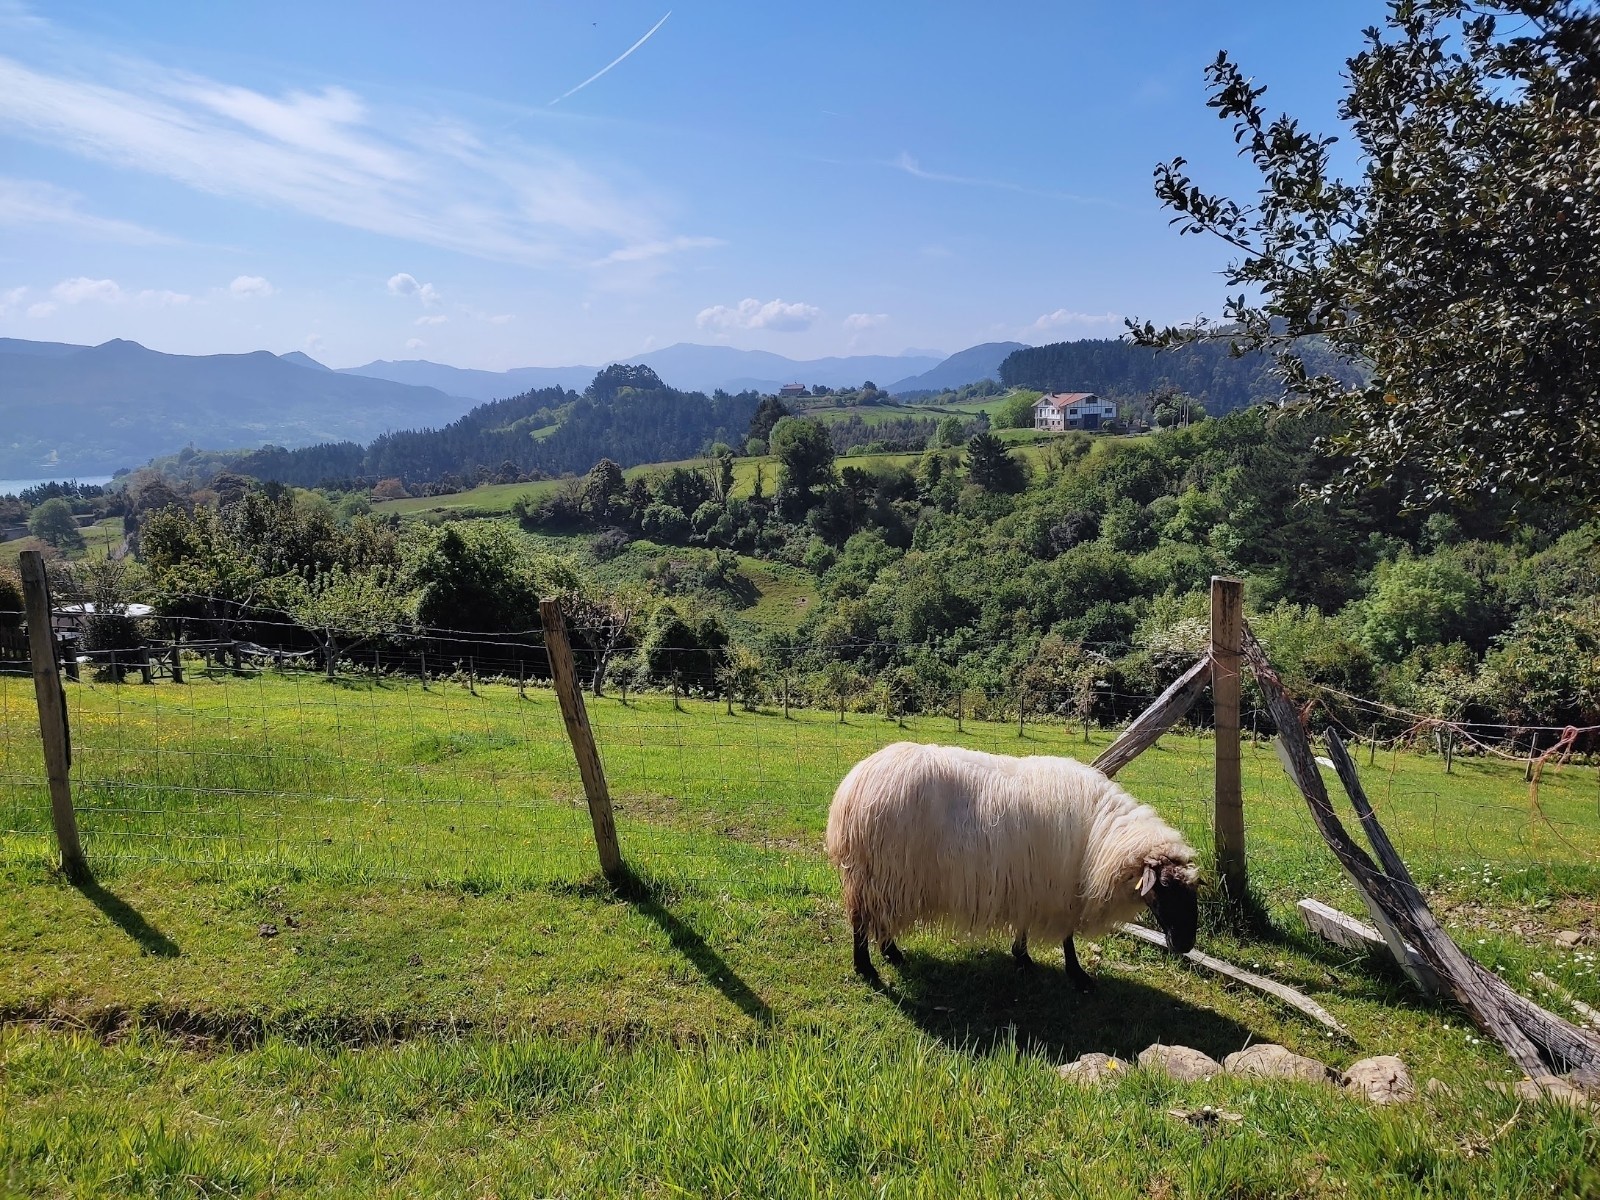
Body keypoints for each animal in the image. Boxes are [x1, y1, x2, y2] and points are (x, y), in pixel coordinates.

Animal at [832, 748, 1196, 992]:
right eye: (1164, 887)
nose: (1185, 944)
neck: (1101, 831)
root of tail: (854, 782)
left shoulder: (1032, 883)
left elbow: (1025, 926)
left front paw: (1022, 957)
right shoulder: (1059, 888)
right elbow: (1067, 938)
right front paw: (1076, 974)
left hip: (887, 878)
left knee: (879, 919)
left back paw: (892, 954)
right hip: (879, 872)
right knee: (861, 922)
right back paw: (867, 968)